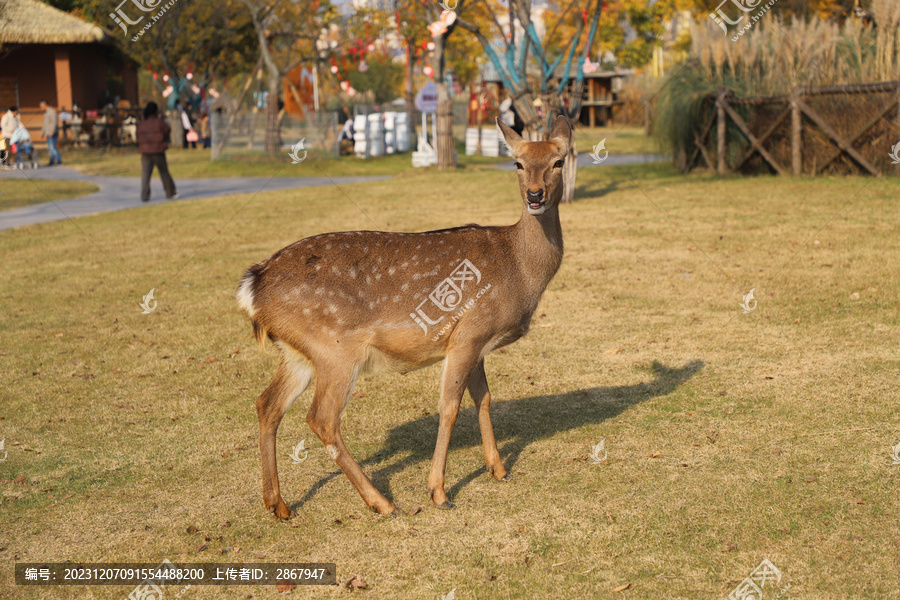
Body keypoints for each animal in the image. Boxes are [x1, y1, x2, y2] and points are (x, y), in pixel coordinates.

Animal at [239, 115, 572, 516]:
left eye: (559, 161)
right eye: (518, 164)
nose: (535, 195)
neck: (518, 269)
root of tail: (252, 286)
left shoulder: (476, 341)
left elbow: (484, 398)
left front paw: (499, 469)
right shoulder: (469, 333)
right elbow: (449, 407)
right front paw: (439, 492)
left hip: (297, 352)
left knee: (267, 404)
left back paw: (279, 505)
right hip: (334, 348)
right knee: (321, 419)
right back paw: (382, 502)